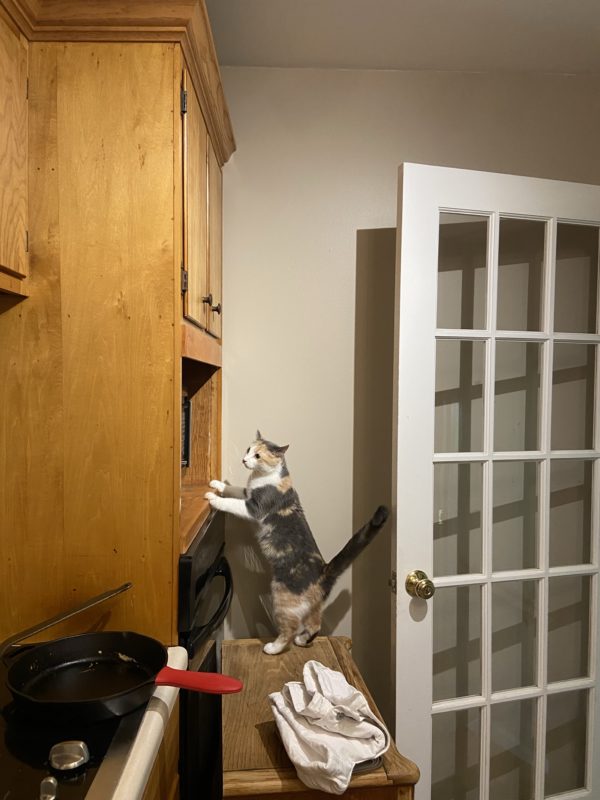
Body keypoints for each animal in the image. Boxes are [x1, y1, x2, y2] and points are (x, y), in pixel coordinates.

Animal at [206, 434, 390, 652]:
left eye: (258, 456)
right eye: (248, 449)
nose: (244, 460)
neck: (260, 477)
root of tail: (323, 571)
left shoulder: (253, 507)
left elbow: (231, 503)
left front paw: (213, 499)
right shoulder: (246, 493)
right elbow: (233, 489)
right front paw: (218, 484)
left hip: (282, 600)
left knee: (290, 629)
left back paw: (273, 648)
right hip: (311, 608)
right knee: (315, 625)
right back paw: (302, 641)